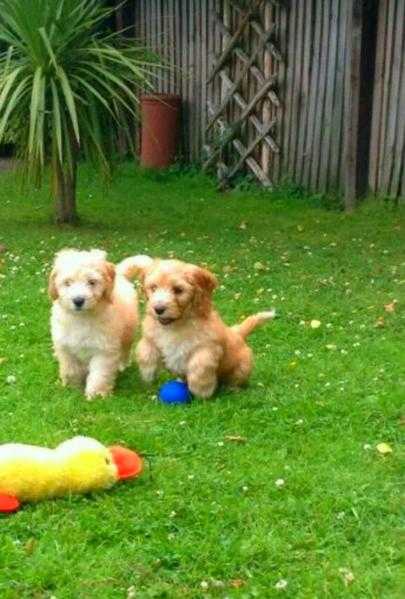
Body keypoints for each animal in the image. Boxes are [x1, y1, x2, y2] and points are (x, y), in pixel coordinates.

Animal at [118, 256, 274, 400]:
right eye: (154, 287)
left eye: (178, 290)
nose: (158, 309)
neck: (175, 325)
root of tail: (237, 333)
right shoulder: (150, 336)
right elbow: (145, 351)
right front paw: (148, 374)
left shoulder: (207, 348)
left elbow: (199, 365)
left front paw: (201, 390)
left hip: (242, 366)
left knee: (236, 379)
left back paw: (232, 388)